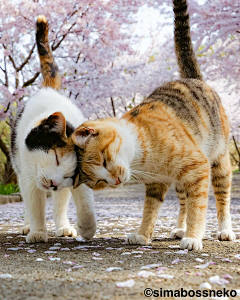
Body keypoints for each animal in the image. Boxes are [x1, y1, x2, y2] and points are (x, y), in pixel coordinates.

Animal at [10, 15, 96, 243]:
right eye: (56, 157)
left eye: (69, 174)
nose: (54, 183)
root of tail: (49, 89)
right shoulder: (29, 175)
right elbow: (35, 205)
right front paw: (38, 232)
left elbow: (84, 200)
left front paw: (87, 226)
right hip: (20, 170)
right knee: (28, 201)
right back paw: (28, 226)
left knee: (60, 203)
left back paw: (63, 226)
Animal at [72, 0, 235, 250]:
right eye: (100, 182)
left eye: (104, 161)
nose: (116, 180)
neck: (143, 158)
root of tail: (194, 79)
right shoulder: (157, 183)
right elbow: (151, 209)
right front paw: (142, 234)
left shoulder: (197, 166)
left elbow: (197, 207)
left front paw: (193, 237)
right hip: (181, 180)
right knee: (183, 201)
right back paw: (180, 228)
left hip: (219, 160)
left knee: (221, 196)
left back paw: (224, 230)